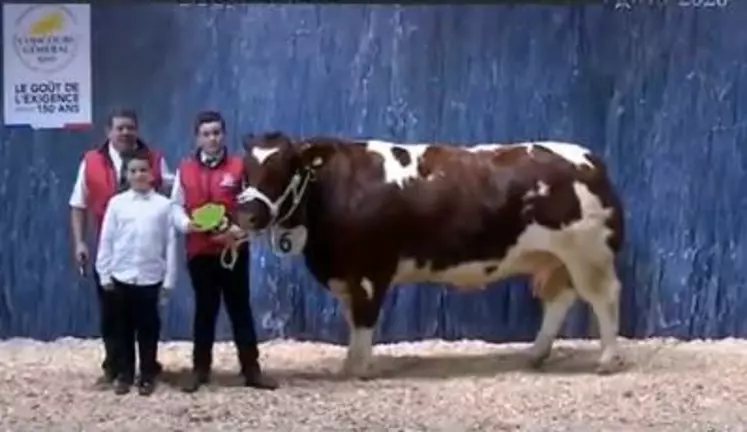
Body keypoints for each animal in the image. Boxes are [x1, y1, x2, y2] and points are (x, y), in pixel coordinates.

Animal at [237, 132, 628, 378]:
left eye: (286, 167)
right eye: (245, 171)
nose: (247, 214)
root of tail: (588, 158)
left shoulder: (370, 273)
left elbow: (363, 321)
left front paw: (361, 371)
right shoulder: (347, 276)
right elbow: (352, 321)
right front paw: (349, 366)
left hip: (589, 253)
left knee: (605, 297)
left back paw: (608, 360)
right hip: (557, 258)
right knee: (559, 300)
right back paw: (535, 355)